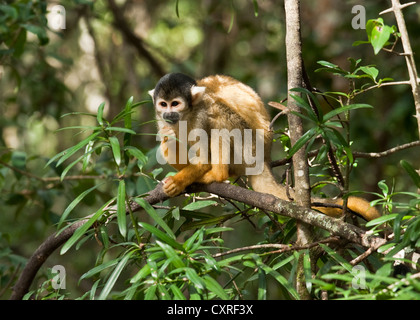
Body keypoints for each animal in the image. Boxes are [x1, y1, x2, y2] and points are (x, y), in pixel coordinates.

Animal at [148, 73, 380, 221]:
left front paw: (177, 182)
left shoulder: (202, 113)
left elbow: (203, 158)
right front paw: (170, 144)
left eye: (175, 103)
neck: (186, 115)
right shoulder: (160, 121)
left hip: (247, 149)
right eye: (163, 104)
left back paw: (218, 174)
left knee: (220, 117)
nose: (168, 113)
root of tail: (264, 160)